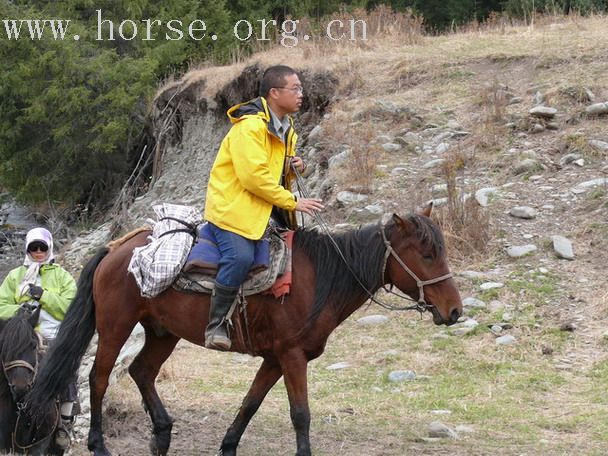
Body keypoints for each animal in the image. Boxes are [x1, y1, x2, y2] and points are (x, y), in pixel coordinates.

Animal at [21, 207, 464, 456]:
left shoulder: (274, 358)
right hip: (115, 325)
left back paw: (162, 434)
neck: (319, 278)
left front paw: (228, 446)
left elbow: (250, 404)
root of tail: (117, 248)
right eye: (427, 253)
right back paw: (99, 445)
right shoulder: (292, 356)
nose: (454, 311)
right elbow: (300, 414)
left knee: (141, 371)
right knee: (98, 378)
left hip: (163, 332)